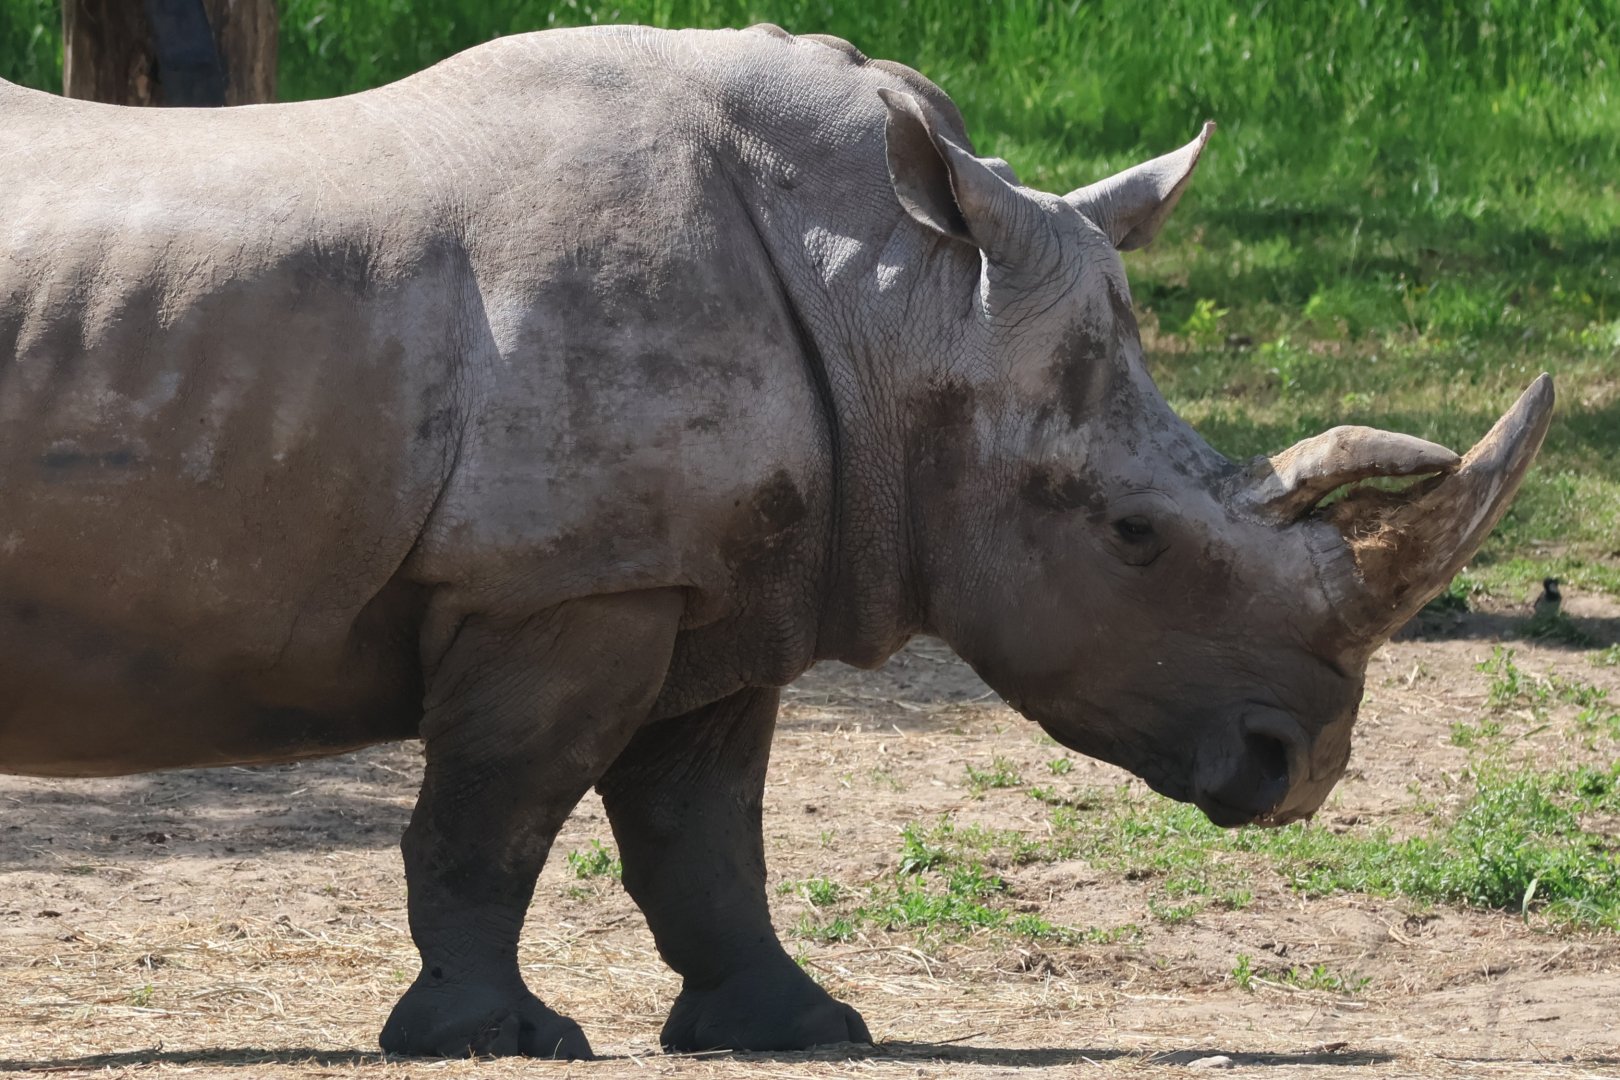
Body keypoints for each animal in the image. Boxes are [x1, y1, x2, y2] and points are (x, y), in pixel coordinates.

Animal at [0, 22, 1550, 1060]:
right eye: (1134, 537)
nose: (1300, 772)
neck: (900, 304)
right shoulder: (568, 581)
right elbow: (497, 812)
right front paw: (496, 1038)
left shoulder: (721, 581)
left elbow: (703, 832)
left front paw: (799, 1025)